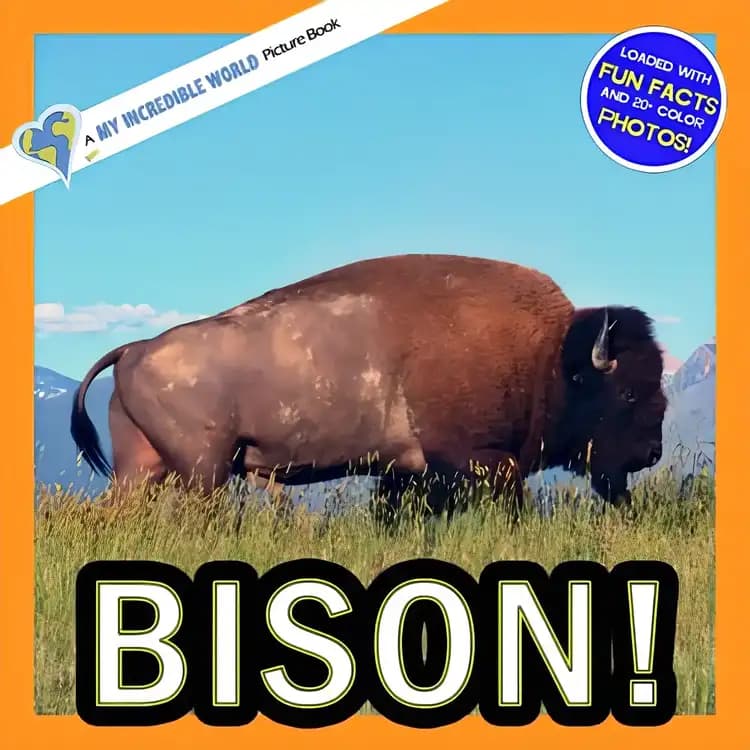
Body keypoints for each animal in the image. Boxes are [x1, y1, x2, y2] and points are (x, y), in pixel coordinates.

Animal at [71, 254, 666, 515]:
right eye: (628, 393)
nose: (652, 452)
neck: (546, 356)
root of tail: (135, 348)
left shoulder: (406, 472)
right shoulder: (479, 461)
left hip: (143, 468)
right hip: (204, 470)